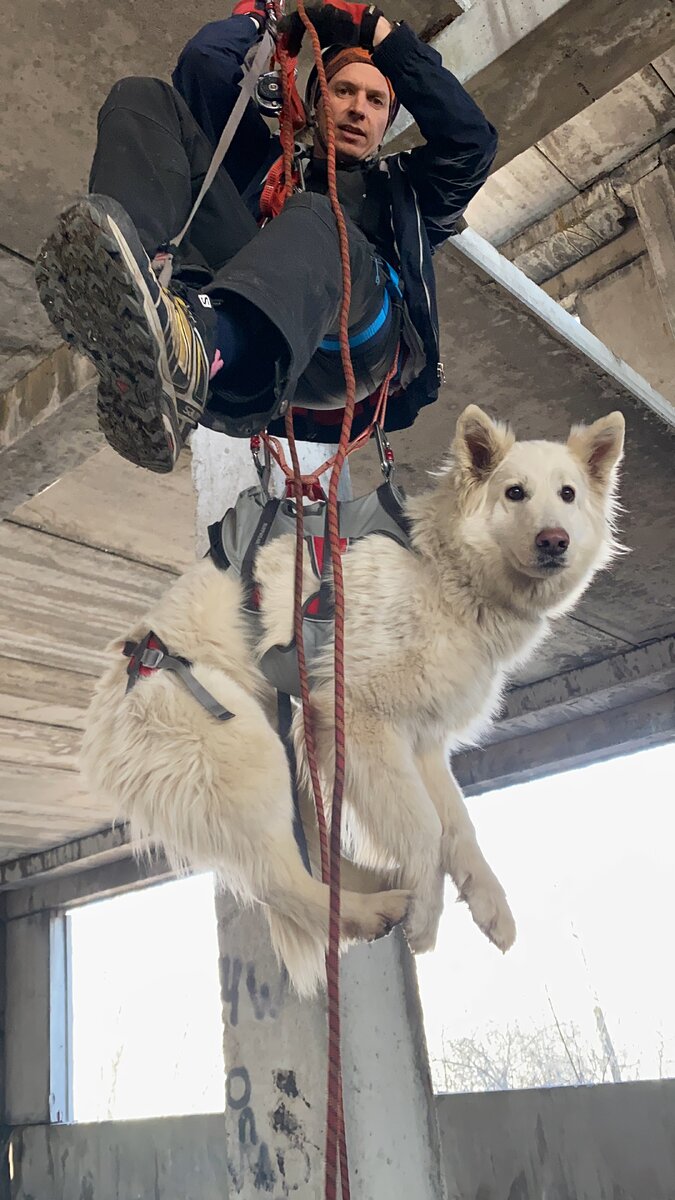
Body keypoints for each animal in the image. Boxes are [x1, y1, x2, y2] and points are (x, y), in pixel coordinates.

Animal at [81, 405, 624, 993]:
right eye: (515, 493)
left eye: (568, 494)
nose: (554, 541)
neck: (441, 566)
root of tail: (102, 720)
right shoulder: (360, 720)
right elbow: (425, 830)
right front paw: (426, 919)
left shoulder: (420, 742)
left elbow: (457, 826)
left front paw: (490, 906)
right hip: (248, 751)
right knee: (280, 880)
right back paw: (374, 910)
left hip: (291, 755)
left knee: (314, 859)